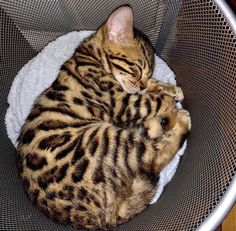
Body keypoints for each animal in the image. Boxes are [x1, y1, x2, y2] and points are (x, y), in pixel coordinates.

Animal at [16, 5, 191, 231]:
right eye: (136, 69)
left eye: (148, 72)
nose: (141, 84)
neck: (91, 57)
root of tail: (99, 220)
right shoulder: (122, 102)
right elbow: (151, 100)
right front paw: (168, 99)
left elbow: (152, 90)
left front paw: (169, 88)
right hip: (106, 138)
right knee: (154, 156)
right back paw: (180, 119)